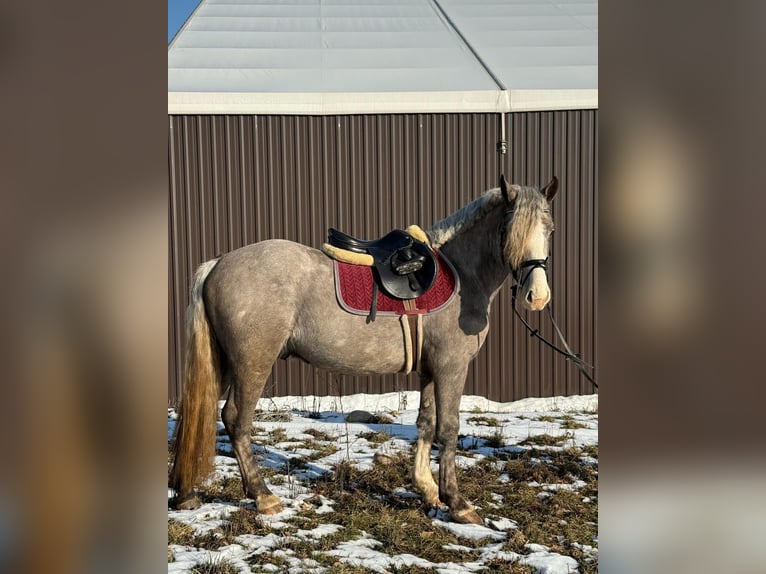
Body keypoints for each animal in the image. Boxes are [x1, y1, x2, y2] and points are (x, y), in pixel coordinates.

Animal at [171, 176, 560, 528]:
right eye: (510, 229)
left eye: (550, 228)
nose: (538, 297)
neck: (461, 276)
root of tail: (218, 263)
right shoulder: (451, 367)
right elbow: (448, 428)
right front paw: (457, 503)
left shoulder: (430, 369)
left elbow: (426, 423)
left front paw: (428, 491)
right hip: (252, 363)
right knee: (237, 421)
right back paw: (263, 496)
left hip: (224, 362)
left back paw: (188, 493)